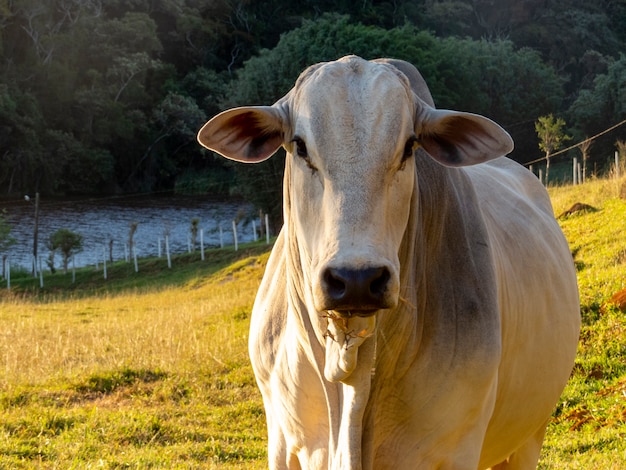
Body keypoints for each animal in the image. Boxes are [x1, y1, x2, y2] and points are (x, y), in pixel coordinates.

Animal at [196, 56, 580, 470]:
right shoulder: (282, 444)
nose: (356, 279)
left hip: (530, 434)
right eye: (299, 146)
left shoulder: (458, 449)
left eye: (410, 146)